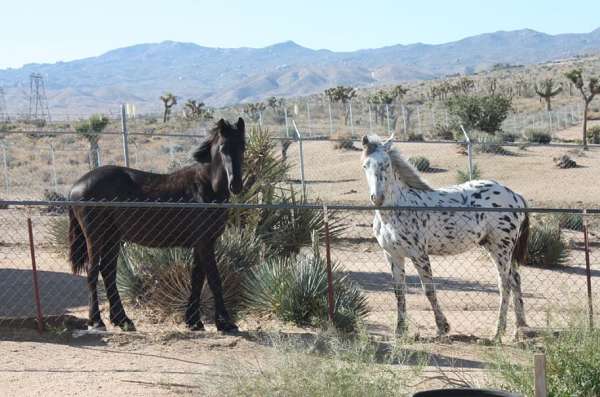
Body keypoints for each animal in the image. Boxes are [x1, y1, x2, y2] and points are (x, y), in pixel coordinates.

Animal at [66, 117, 244, 332]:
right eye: (223, 148)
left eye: (243, 147)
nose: (236, 185)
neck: (205, 187)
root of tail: (76, 187)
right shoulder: (205, 243)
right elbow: (214, 279)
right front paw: (225, 323)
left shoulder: (202, 244)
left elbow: (197, 278)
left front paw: (194, 321)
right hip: (96, 237)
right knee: (93, 272)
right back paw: (97, 321)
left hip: (112, 239)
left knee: (108, 272)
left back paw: (122, 320)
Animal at [360, 133, 528, 338]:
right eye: (365, 165)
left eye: (386, 164)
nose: (377, 198)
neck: (398, 209)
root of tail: (516, 195)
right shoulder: (393, 255)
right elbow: (399, 291)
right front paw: (399, 330)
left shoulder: (419, 254)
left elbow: (429, 290)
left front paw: (442, 327)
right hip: (501, 249)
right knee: (516, 281)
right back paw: (519, 328)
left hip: (500, 249)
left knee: (505, 285)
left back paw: (497, 333)